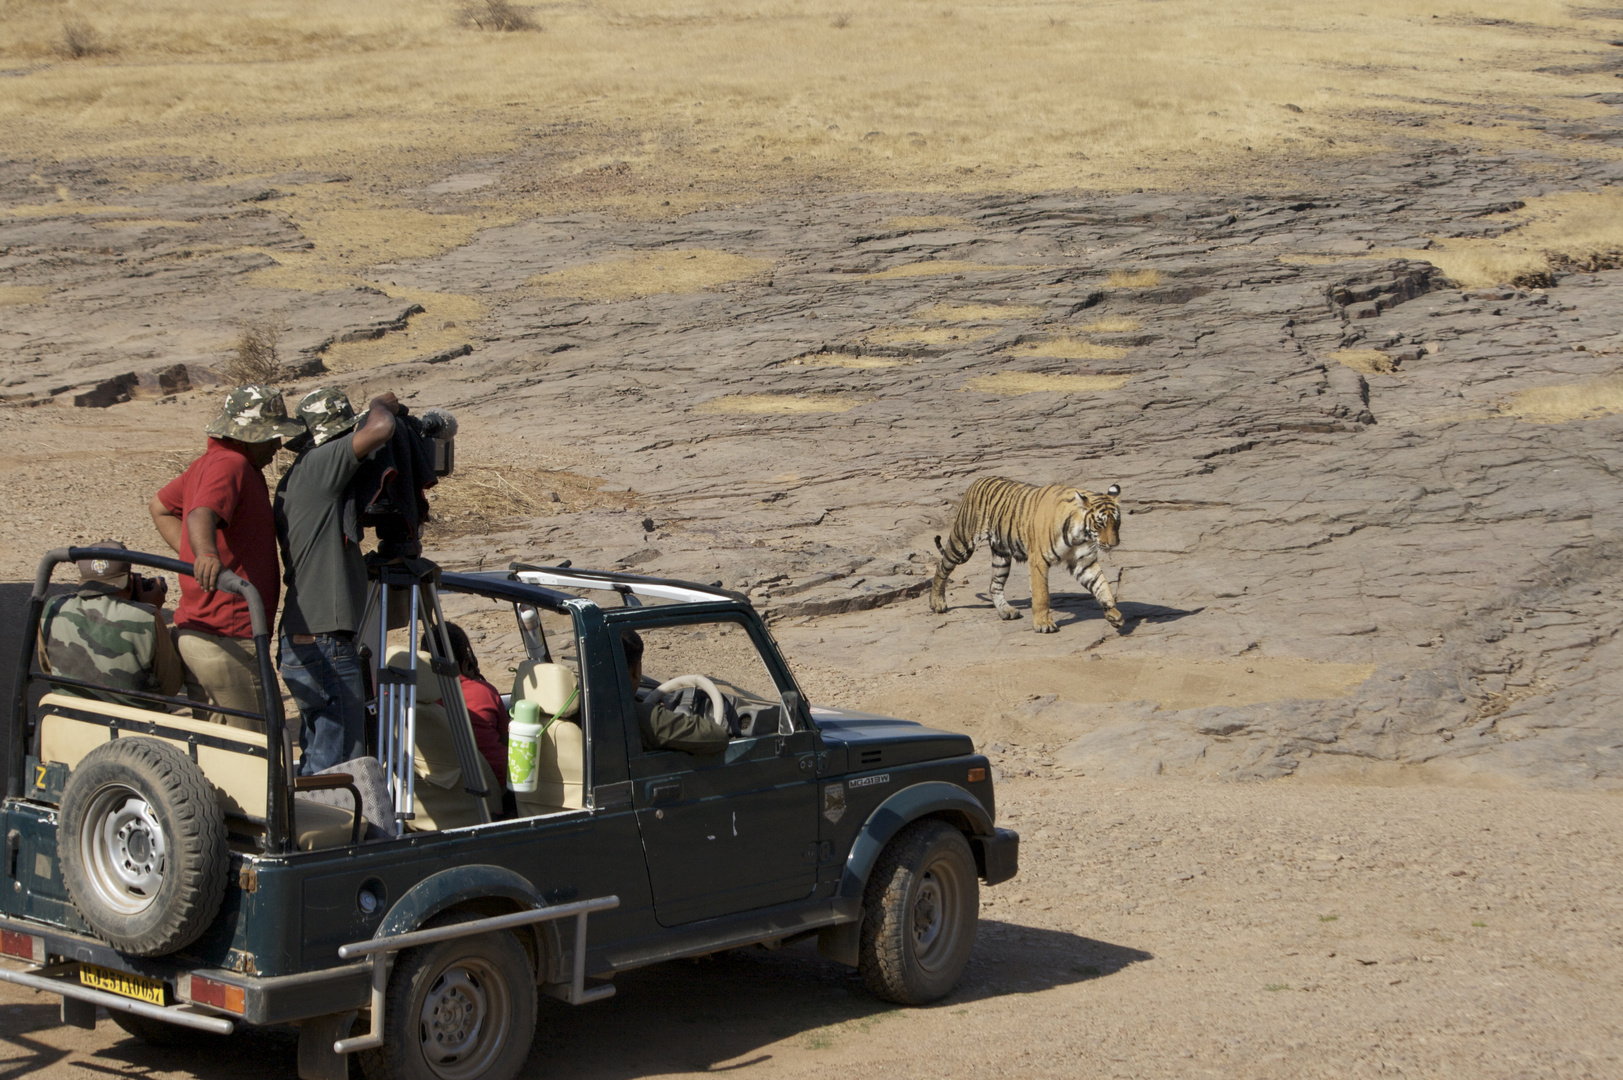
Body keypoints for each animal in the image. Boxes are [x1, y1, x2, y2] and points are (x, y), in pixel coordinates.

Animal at [934, 477, 1123, 633]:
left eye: (1117, 523)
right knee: (942, 568)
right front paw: (1044, 624)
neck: (1081, 535)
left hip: (1002, 556)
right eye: (1100, 524)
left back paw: (1006, 611)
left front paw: (1114, 614)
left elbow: (1101, 585)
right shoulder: (1039, 560)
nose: (1114, 544)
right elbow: (1041, 595)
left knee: (994, 585)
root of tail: (977, 480)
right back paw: (937, 603)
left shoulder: (1084, 562)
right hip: (962, 543)